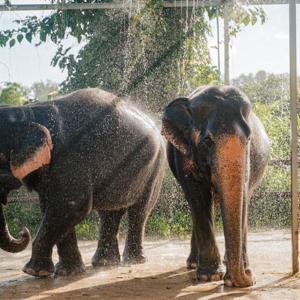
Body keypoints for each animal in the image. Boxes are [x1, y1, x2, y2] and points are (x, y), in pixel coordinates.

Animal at [0, 88, 166, 278]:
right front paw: (68, 272)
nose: (23, 231)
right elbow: (53, 207)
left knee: (139, 211)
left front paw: (35, 272)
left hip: (156, 166)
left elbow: (71, 206)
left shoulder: (69, 159)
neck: (28, 113)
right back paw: (104, 263)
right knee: (110, 213)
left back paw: (133, 261)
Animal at [162, 85, 270, 288]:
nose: (248, 277)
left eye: (249, 139)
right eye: (207, 141)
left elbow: (243, 196)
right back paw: (193, 264)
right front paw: (210, 277)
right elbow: (198, 198)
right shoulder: (185, 154)